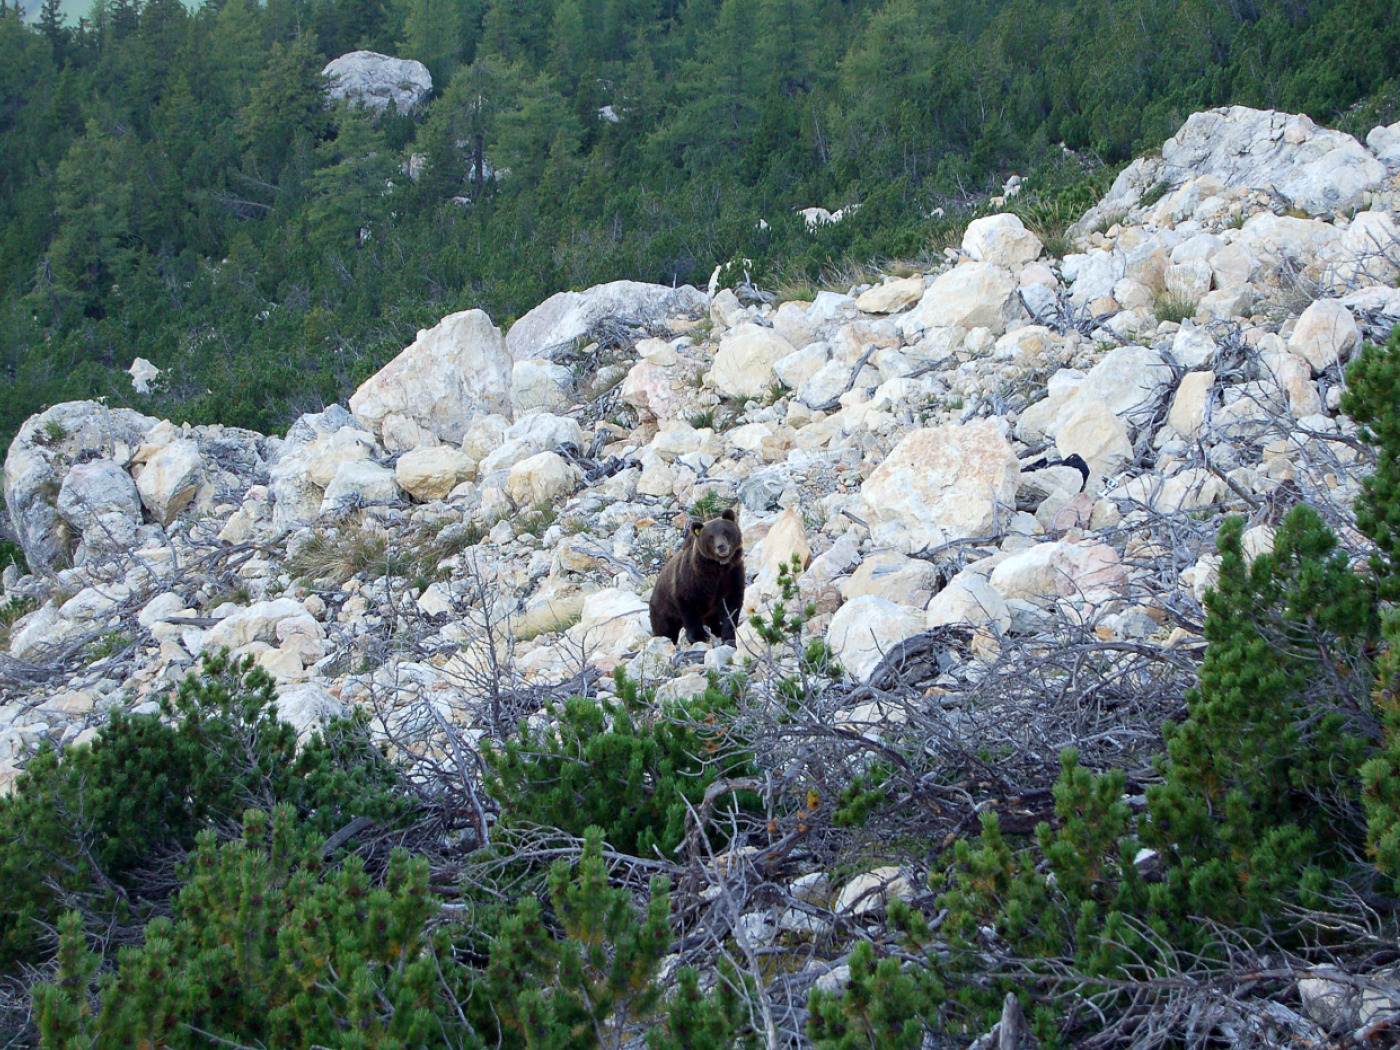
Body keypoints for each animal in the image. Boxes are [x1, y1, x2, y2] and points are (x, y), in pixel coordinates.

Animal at [649, 507, 745, 646]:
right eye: (710, 536)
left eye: (726, 531)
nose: (721, 546)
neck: (718, 569)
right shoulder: (693, 579)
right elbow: (689, 605)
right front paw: (700, 636)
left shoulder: (732, 574)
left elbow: (731, 605)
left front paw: (729, 637)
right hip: (663, 609)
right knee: (665, 629)